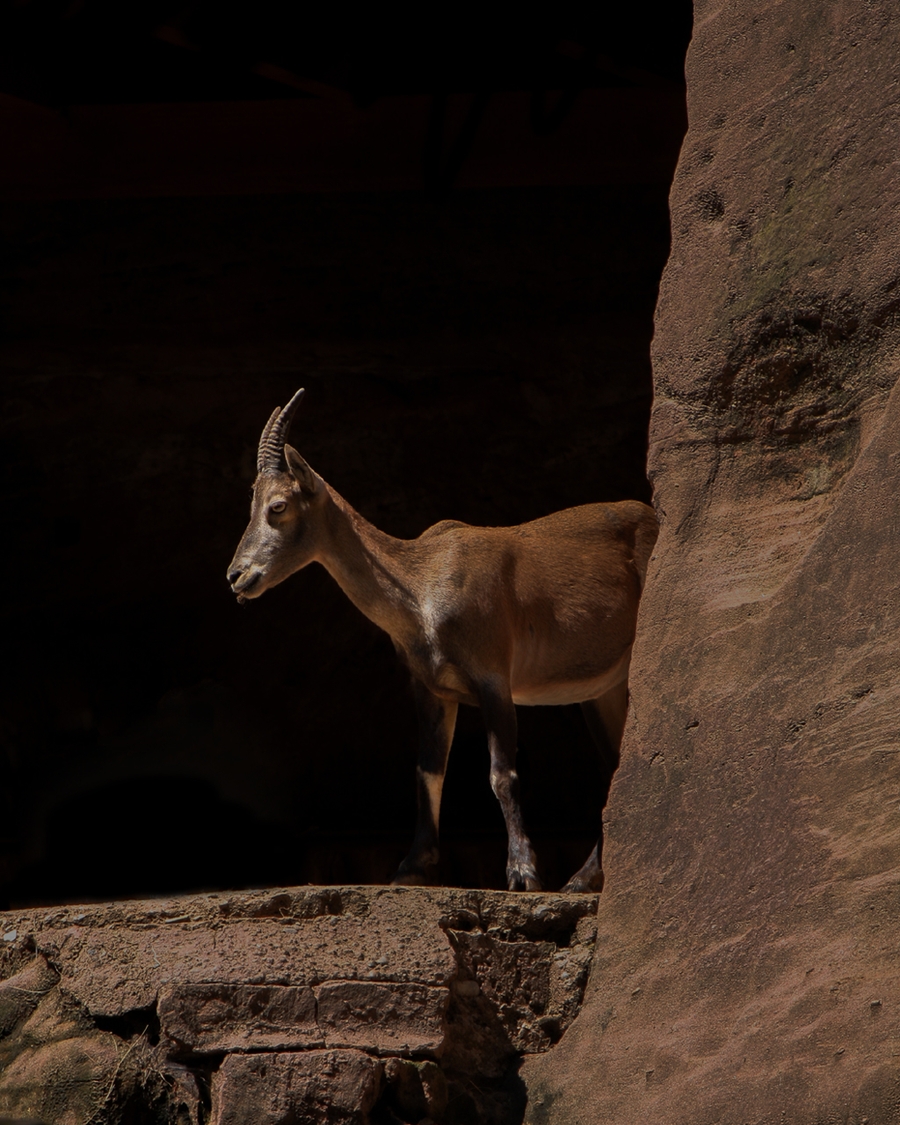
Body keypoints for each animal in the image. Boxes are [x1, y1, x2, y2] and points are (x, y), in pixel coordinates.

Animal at [227, 388, 657, 892]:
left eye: (277, 506)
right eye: (253, 504)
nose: (237, 576)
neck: (422, 585)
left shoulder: (493, 677)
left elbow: (502, 773)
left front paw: (522, 872)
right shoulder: (431, 688)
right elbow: (427, 773)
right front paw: (411, 867)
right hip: (600, 691)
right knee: (613, 766)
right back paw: (581, 878)